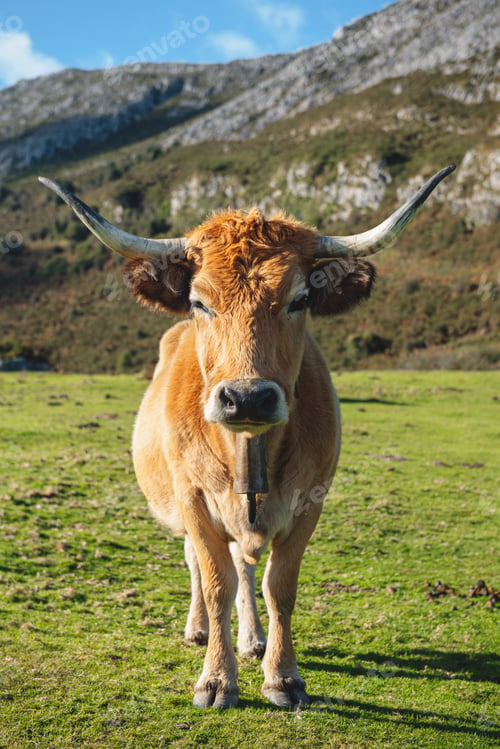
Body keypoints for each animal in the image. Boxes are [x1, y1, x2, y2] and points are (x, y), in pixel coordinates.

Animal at [39, 165, 455, 709]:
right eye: (200, 302)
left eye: (300, 299)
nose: (247, 397)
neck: (250, 453)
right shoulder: (193, 497)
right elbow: (217, 581)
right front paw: (216, 680)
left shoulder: (310, 500)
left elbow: (279, 585)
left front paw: (283, 676)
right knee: (202, 564)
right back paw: (199, 630)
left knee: (245, 565)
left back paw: (253, 639)